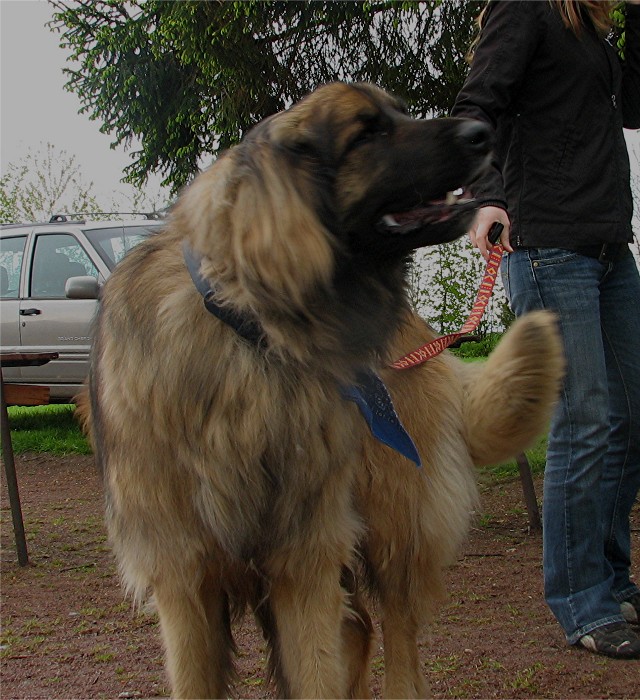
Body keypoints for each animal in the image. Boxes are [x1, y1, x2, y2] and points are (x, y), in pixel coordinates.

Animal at [89, 80, 560, 696]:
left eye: (400, 113)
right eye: (366, 132)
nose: (482, 133)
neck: (255, 335)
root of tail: (422, 333)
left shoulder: (303, 560)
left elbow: (316, 670)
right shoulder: (184, 577)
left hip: (393, 526)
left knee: (398, 640)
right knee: (359, 630)